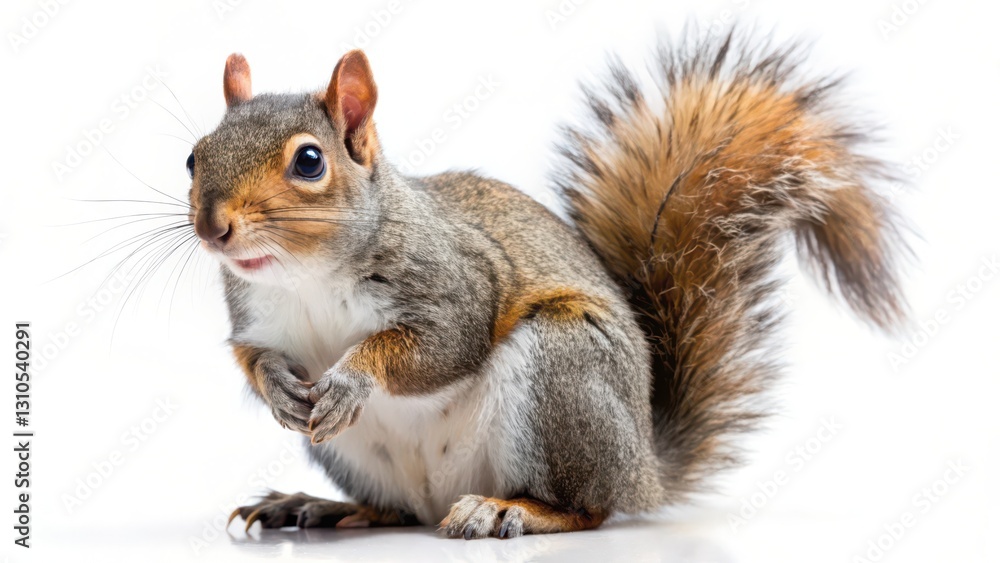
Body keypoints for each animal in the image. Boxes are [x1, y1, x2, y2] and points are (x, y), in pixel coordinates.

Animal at [186, 30, 907, 539]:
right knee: (398, 510)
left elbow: (443, 342)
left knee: (588, 506)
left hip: (561, 368)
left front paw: (352, 376)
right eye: (194, 155)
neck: (304, 274)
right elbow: (250, 353)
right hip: (360, 457)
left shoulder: (455, 280)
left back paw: (513, 511)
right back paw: (321, 507)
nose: (212, 227)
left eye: (309, 161)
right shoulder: (252, 314)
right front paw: (277, 384)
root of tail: (644, 465)